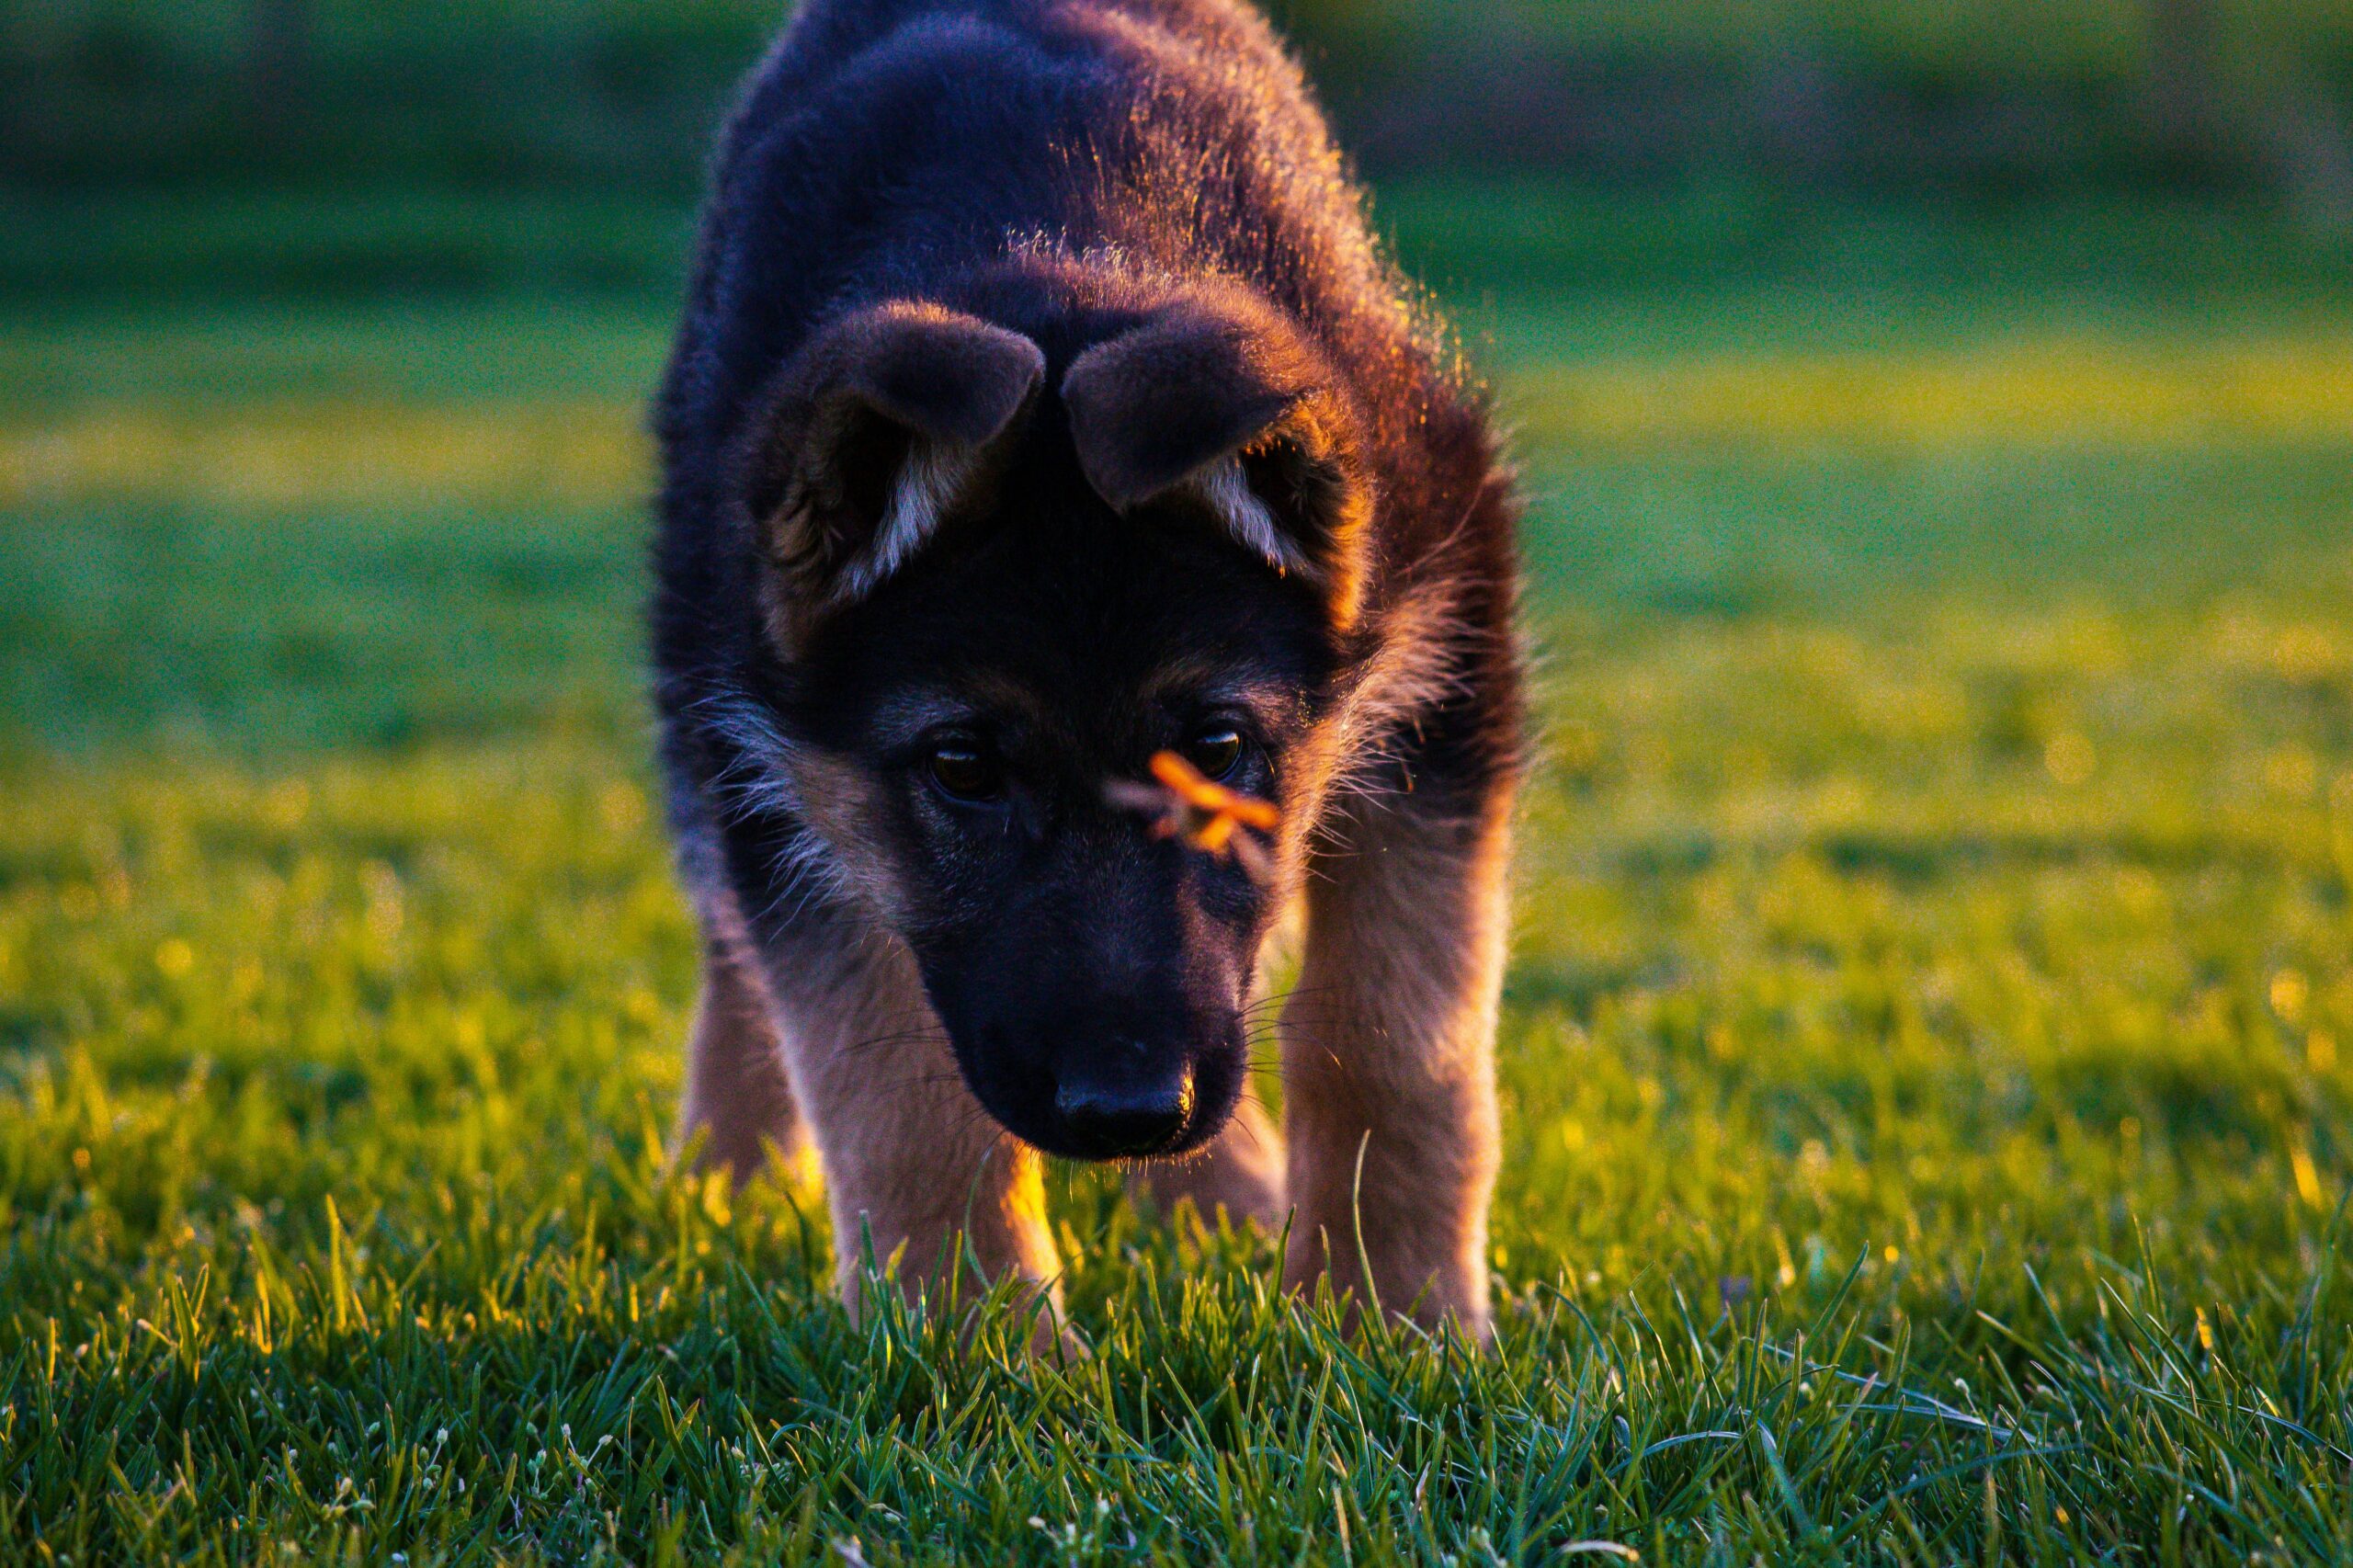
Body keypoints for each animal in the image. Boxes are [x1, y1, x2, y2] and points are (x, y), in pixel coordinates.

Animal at [654, 0, 1515, 1327]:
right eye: (961, 766)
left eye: (1220, 746)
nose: (1126, 1112)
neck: (1058, 241)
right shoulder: (771, 740)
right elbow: (893, 1091)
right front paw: (976, 1343)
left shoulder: (1445, 650)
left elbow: (1392, 1028)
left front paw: (1388, 1314)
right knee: (735, 952)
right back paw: (726, 1177)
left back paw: (1228, 1202)